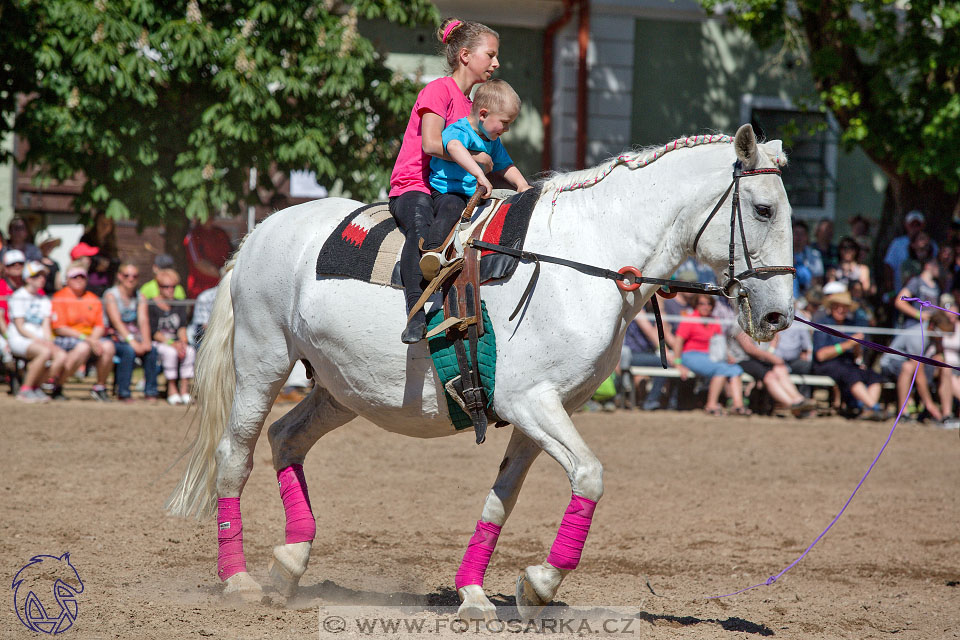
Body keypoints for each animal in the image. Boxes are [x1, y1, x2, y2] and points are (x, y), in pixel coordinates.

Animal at [167, 124, 796, 620]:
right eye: (764, 209)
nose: (777, 315)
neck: (580, 258)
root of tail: (260, 233)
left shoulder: (541, 412)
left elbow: (502, 499)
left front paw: (476, 592)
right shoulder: (531, 403)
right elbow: (589, 475)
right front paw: (540, 582)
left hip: (342, 390)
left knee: (286, 438)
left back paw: (291, 560)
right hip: (262, 362)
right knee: (235, 457)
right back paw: (237, 580)